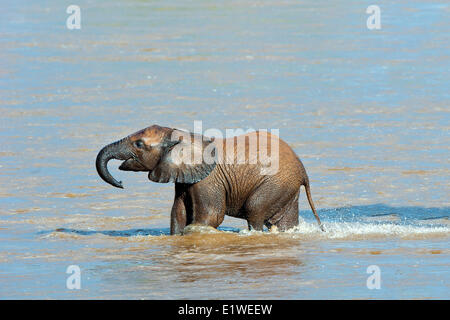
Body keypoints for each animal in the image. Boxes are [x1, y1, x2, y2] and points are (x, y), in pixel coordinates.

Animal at [96, 125, 324, 235]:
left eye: (139, 144)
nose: (121, 183)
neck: (183, 136)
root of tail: (302, 170)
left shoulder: (208, 180)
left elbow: (210, 217)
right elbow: (178, 213)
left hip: (276, 182)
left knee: (254, 210)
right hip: (287, 186)